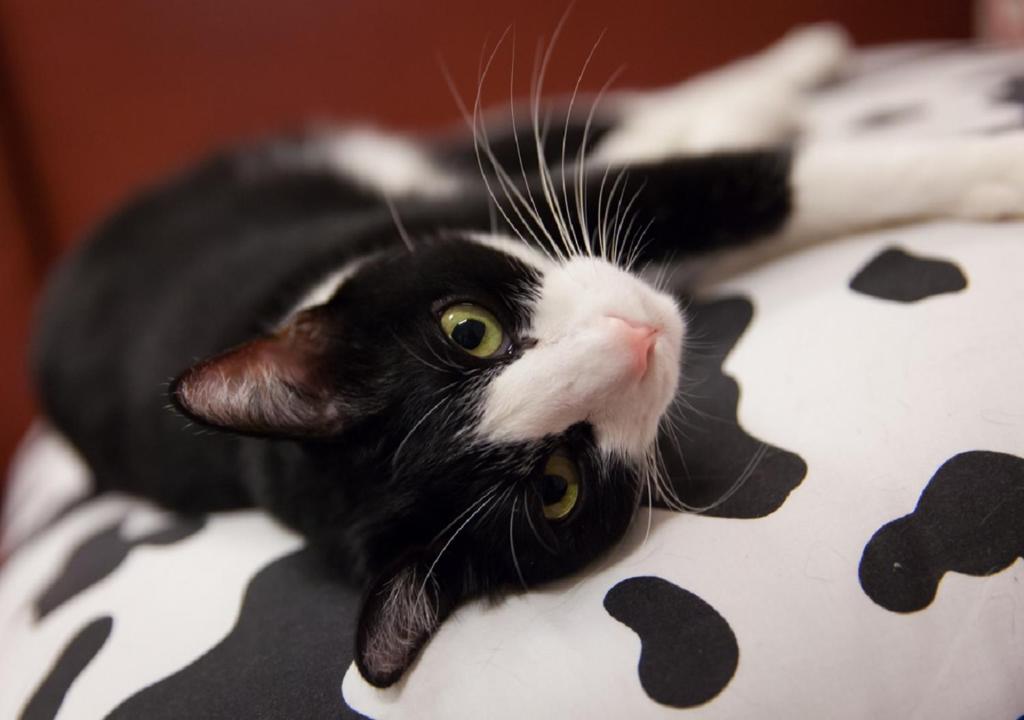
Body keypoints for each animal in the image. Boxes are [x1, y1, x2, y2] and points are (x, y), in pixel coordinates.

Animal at [28, 23, 1024, 688]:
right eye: (558, 487)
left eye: (467, 329)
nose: (638, 334)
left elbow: (733, 179)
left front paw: (996, 164)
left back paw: (790, 63)